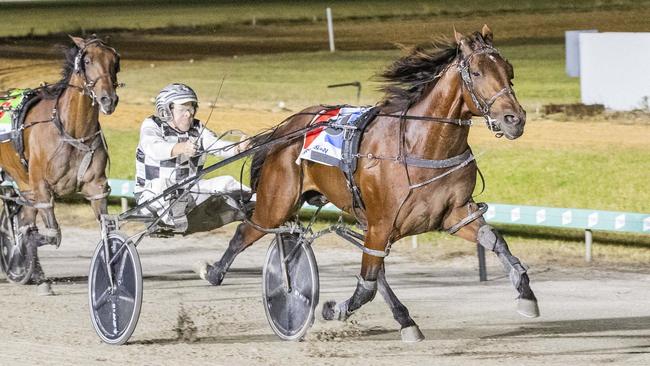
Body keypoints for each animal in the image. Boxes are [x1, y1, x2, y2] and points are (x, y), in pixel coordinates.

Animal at [0, 35, 120, 286]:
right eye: (87, 60)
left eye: (115, 60)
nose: (108, 99)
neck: (71, 131)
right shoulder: (42, 188)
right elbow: (52, 234)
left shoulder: (96, 187)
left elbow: (106, 228)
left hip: (23, 184)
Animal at [204, 25, 536, 340]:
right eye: (477, 72)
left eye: (509, 70)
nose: (514, 119)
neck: (419, 145)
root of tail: (285, 129)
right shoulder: (380, 223)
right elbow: (367, 286)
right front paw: (333, 309)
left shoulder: (452, 214)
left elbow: (495, 240)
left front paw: (526, 294)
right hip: (278, 202)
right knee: (246, 231)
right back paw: (215, 272)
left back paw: (405, 320)